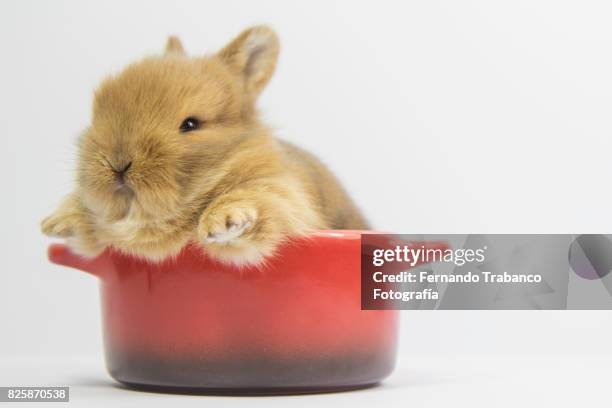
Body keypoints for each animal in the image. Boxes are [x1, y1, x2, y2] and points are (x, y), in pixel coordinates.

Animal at [43, 25, 370, 264]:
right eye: (99, 109)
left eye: (191, 124)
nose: (118, 163)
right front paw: (58, 222)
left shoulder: (283, 196)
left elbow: (254, 198)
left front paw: (223, 221)